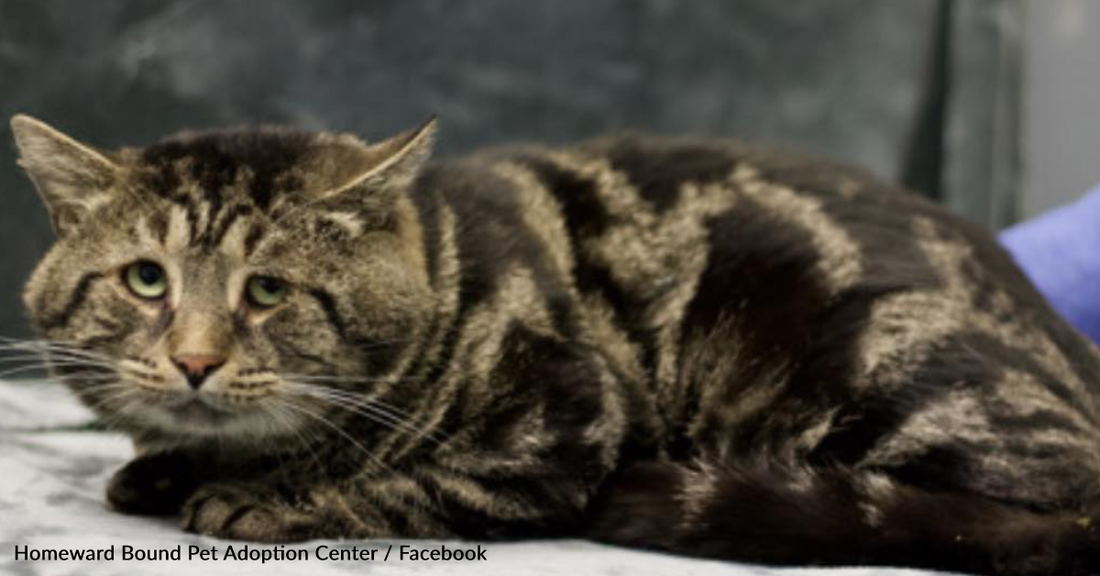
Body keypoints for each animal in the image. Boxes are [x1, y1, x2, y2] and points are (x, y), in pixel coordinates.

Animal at [8, 113, 1100, 576]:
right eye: (147, 280)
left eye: (268, 291)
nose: (195, 359)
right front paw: (160, 467)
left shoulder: (558, 427)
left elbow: (400, 482)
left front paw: (262, 497)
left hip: (869, 357)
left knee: (1043, 520)